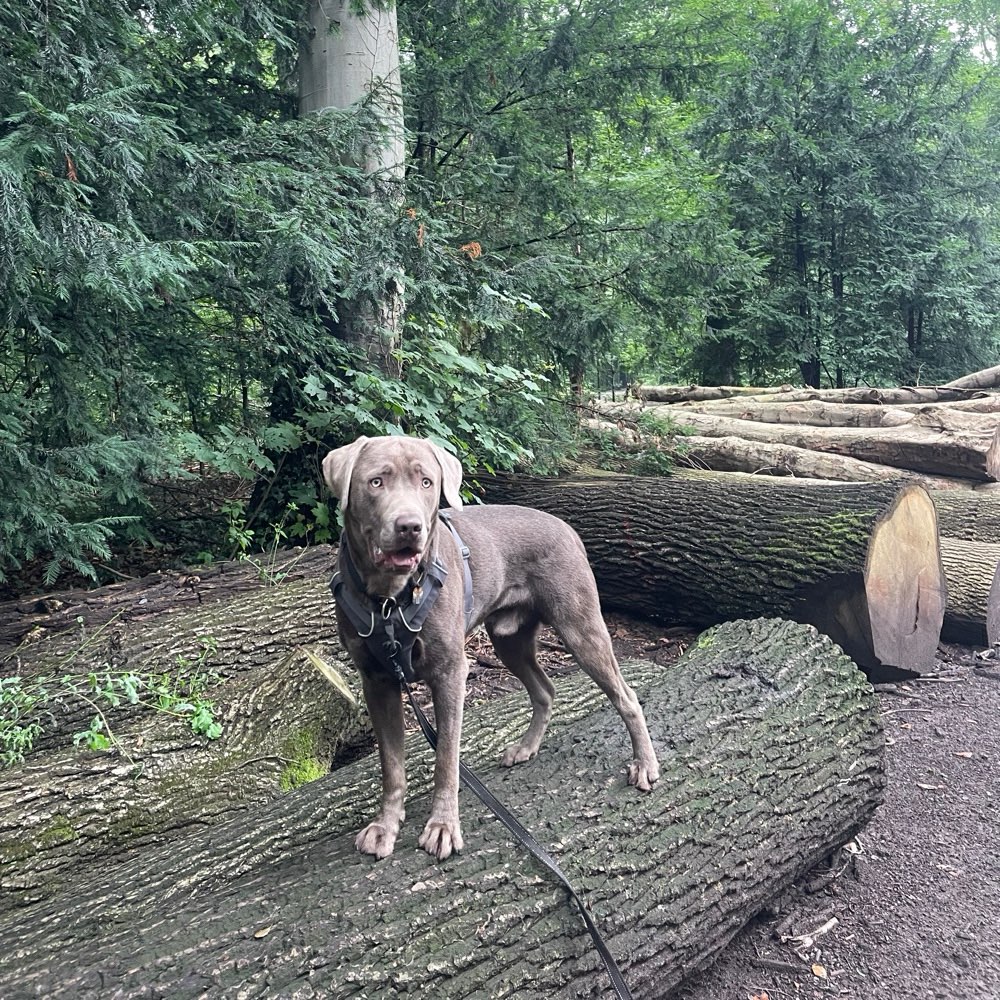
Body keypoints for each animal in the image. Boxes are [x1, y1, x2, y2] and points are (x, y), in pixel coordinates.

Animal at [324, 434, 660, 864]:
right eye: (376, 482)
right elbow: (392, 764)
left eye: (427, 482)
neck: (389, 600)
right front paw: (385, 827)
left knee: (626, 696)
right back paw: (526, 748)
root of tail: (569, 529)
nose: (410, 526)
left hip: (581, 627)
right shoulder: (377, 680)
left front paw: (443, 827)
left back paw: (644, 764)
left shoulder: (450, 672)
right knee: (545, 690)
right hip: (509, 640)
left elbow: (447, 758)